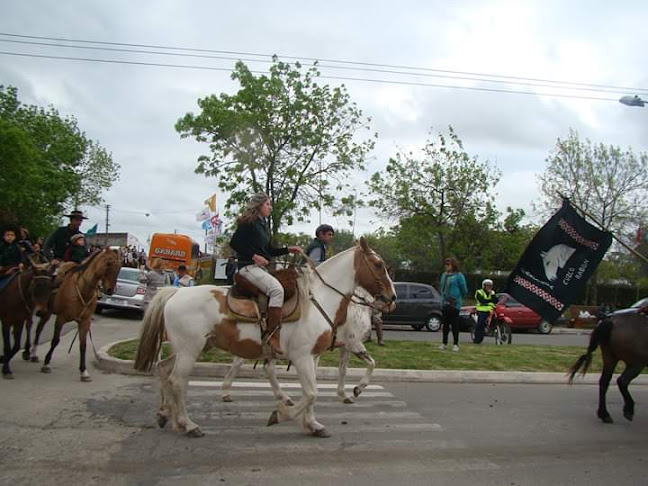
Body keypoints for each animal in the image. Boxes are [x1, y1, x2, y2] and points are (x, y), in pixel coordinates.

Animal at [28, 249, 121, 382]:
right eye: (108, 264)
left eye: (119, 267)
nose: (110, 290)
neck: (83, 290)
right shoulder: (60, 318)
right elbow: (55, 341)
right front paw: (46, 363)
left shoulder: (85, 322)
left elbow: (83, 345)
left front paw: (84, 372)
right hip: (44, 311)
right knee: (38, 329)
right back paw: (33, 353)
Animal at [135, 237, 394, 438]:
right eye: (378, 264)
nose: (392, 298)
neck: (319, 300)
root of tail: (175, 292)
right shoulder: (305, 356)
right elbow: (312, 393)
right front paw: (281, 414)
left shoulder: (315, 356)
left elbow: (315, 390)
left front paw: (313, 424)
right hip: (190, 350)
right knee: (178, 381)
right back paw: (189, 424)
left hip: (190, 348)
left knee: (164, 369)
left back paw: (166, 414)